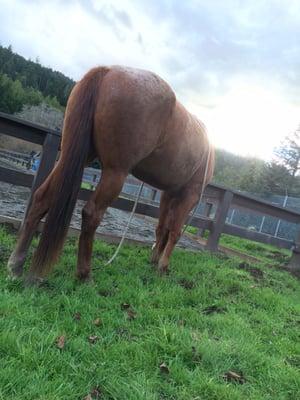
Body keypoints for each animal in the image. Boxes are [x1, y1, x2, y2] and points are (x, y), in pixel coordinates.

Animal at [7, 65, 213, 282]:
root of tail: (108, 71)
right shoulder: (191, 194)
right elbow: (174, 231)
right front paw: (163, 267)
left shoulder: (168, 193)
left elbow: (162, 227)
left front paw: (155, 260)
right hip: (116, 173)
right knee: (92, 214)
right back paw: (85, 273)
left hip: (74, 157)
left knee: (42, 198)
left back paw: (16, 265)